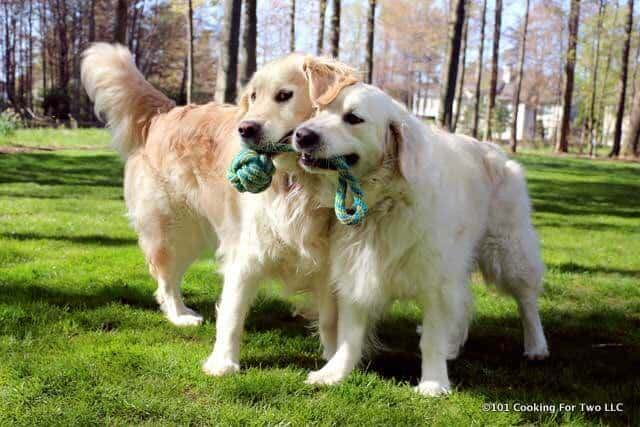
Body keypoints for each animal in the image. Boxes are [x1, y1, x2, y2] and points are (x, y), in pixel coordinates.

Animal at [80, 43, 356, 376]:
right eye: (253, 97)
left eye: (284, 95)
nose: (245, 128)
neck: (297, 181)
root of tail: (164, 112)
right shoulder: (246, 255)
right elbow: (232, 315)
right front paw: (223, 363)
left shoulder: (327, 266)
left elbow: (330, 320)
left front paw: (332, 361)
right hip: (174, 232)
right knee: (166, 281)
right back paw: (180, 315)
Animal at [292, 83, 548, 398]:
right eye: (318, 111)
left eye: (353, 118)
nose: (301, 134)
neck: (385, 200)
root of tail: (494, 149)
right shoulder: (356, 271)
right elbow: (349, 335)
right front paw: (334, 373)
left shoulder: (437, 281)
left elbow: (431, 338)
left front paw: (433, 383)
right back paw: (454, 344)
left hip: (508, 250)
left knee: (527, 300)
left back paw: (536, 346)